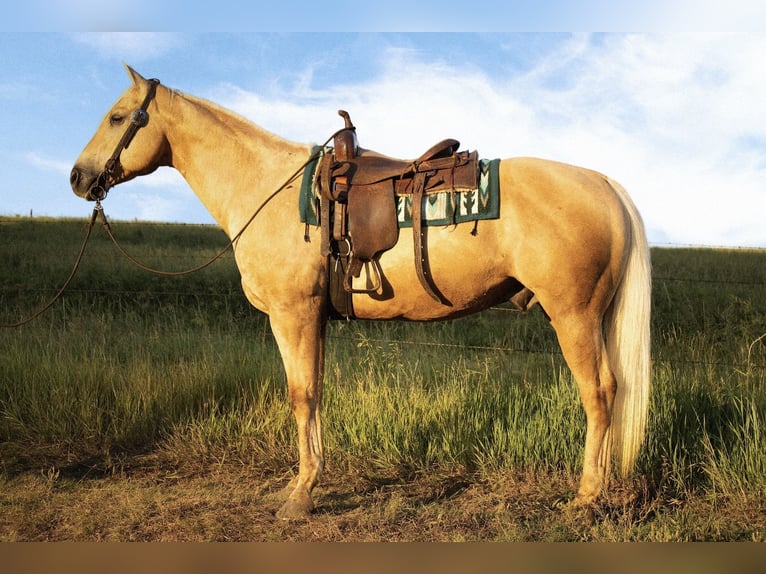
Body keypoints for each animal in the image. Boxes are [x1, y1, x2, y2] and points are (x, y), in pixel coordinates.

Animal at [70, 65, 651, 520]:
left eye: (119, 118)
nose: (78, 177)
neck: (267, 189)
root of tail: (605, 185)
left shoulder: (292, 315)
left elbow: (300, 395)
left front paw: (300, 495)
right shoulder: (315, 319)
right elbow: (316, 393)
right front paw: (306, 482)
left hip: (573, 315)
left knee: (599, 392)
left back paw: (587, 495)